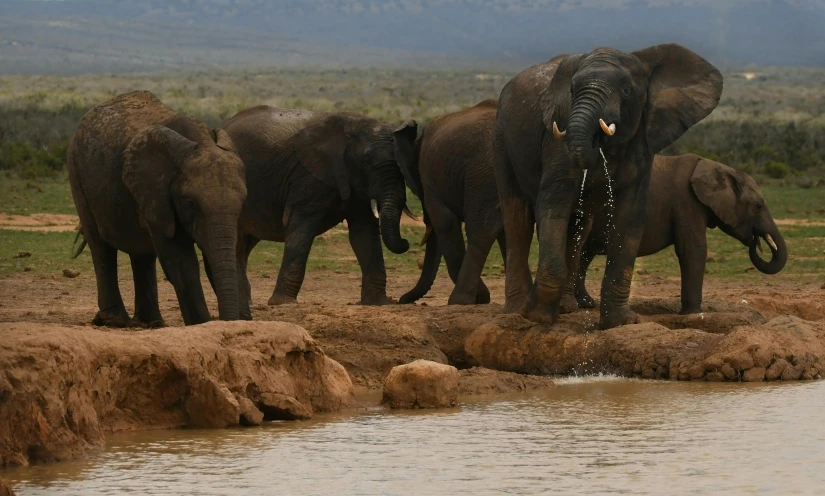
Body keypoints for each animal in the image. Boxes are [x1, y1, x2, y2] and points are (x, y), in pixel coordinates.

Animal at [67, 91, 248, 328]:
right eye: (190, 204)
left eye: (242, 202)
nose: (231, 320)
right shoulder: (158, 194)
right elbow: (182, 262)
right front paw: (201, 325)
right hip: (76, 174)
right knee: (100, 245)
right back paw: (114, 321)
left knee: (142, 254)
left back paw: (151, 323)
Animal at [220, 105, 418, 318]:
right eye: (366, 160)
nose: (406, 242)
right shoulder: (308, 176)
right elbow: (302, 230)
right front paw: (282, 303)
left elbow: (363, 234)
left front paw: (378, 303)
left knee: (245, 245)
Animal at [398, 99, 506, 304]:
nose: (400, 299)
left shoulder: (429, 179)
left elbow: (445, 222)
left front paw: (481, 297)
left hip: (482, 174)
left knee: (480, 230)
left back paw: (459, 300)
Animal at [496, 43, 720, 330]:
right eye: (572, 91)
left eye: (626, 91)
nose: (595, 142)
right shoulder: (557, 140)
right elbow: (554, 204)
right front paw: (536, 316)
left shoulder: (642, 141)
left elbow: (630, 216)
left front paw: (620, 322)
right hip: (502, 142)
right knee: (518, 220)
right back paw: (516, 309)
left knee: (578, 225)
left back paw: (566, 307)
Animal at [568, 153, 788, 314]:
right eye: (758, 206)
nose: (755, 241)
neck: (718, 167)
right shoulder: (686, 202)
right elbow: (693, 250)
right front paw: (693, 313)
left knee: (585, 254)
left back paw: (587, 304)